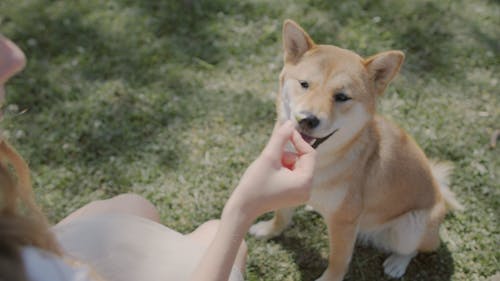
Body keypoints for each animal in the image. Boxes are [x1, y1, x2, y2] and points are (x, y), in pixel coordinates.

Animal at [249, 20, 460, 280]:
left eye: (341, 97)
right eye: (304, 84)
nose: (307, 119)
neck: (320, 161)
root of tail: (439, 191)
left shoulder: (343, 222)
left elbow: (338, 260)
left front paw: (328, 279)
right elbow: (281, 216)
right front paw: (269, 230)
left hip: (412, 225)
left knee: (412, 249)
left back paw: (397, 263)